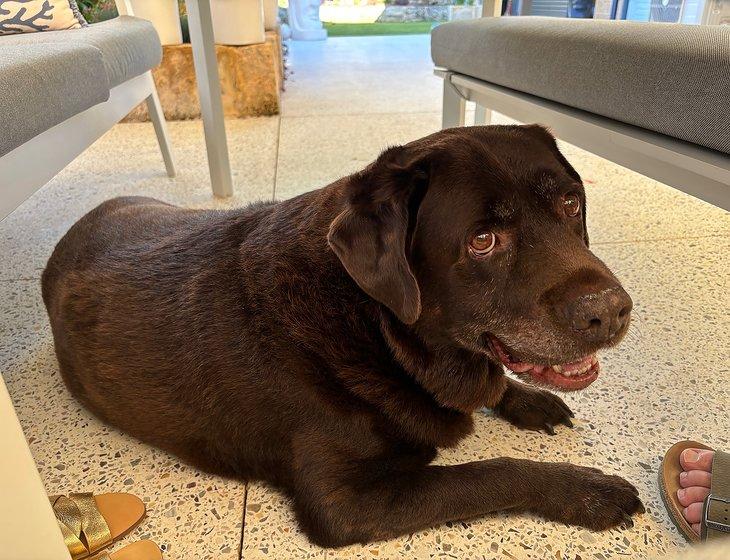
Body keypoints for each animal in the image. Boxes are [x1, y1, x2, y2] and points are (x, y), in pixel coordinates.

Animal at [42, 126, 640, 548]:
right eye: (483, 240)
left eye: (571, 203)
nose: (611, 313)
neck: (377, 329)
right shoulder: (346, 502)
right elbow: (492, 472)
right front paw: (587, 490)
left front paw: (528, 399)